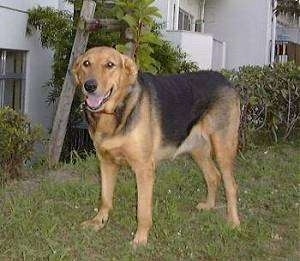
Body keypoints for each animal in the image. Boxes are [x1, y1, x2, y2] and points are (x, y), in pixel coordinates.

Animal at [72, 46, 241, 246]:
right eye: (86, 63)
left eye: (110, 65)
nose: (89, 86)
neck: (114, 114)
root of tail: (224, 79)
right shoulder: (106, 163)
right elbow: (105, 198)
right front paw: (99, 222)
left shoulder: (144, 168)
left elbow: (143, 211)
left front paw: (141, 238)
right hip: (197, 149)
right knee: (213, 176)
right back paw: (209, 205)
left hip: (223, 148)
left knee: (231, 186)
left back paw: (234, 222)